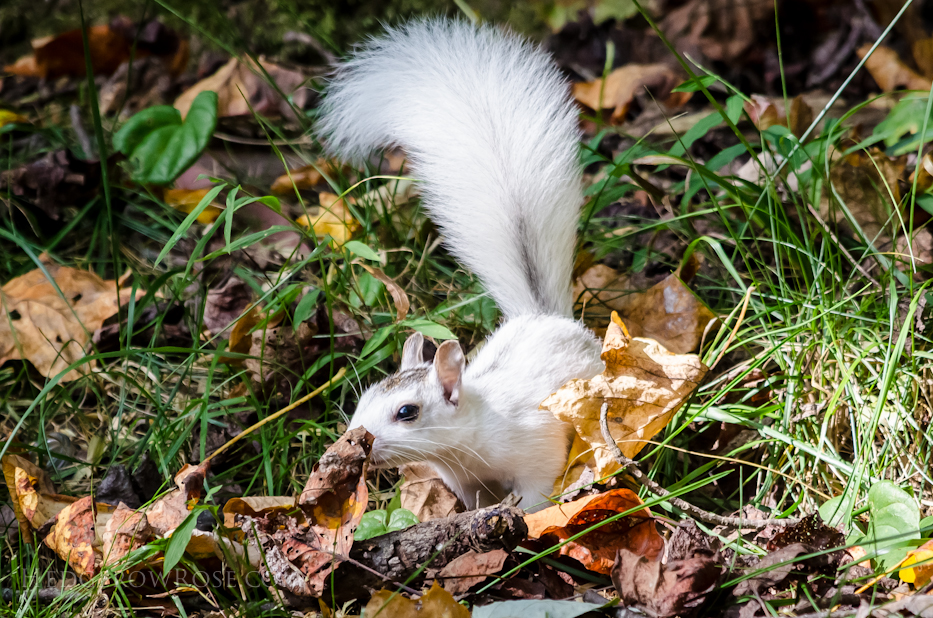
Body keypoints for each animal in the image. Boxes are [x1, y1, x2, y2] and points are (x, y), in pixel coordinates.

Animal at [316, 19, 600, 510]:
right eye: (363, 398)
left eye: (407, 412)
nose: (356, 441)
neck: (468, 444)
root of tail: (546, 316)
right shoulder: (462, 478)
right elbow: (472, 503)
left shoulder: (537, 447)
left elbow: (536, 494)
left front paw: (527, 520)